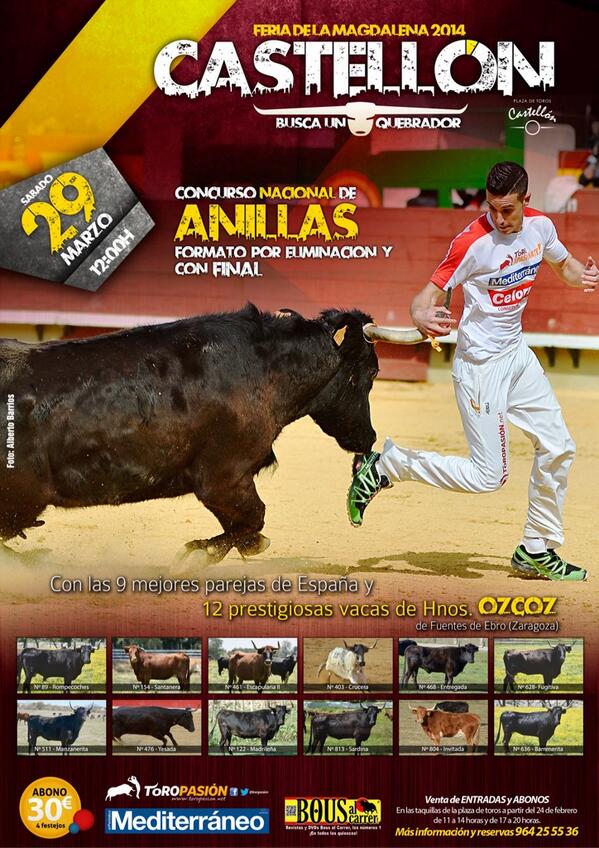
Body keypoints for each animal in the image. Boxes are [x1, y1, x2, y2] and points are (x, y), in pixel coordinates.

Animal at [0, 305, 387, 568]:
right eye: (371, 373)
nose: (368, 437)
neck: (264, 369)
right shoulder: (224, 479)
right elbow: (254, 517)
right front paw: (197, 556)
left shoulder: (226, 482)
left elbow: (246, 522)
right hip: (22, 500)